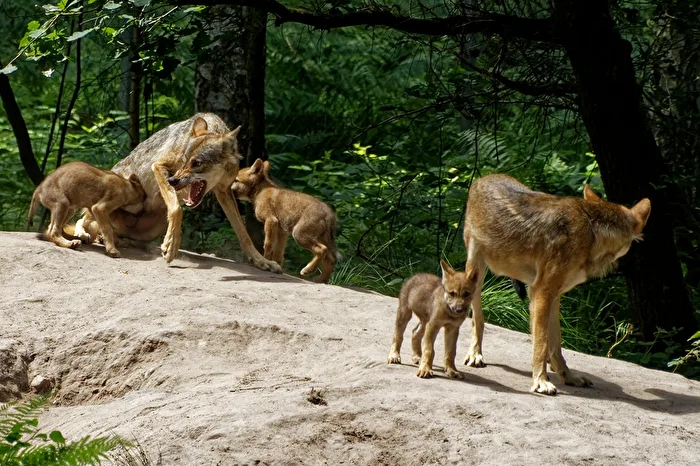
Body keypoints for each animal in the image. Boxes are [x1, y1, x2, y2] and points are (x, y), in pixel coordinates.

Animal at [72, 113, 281, 272]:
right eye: (184, 160)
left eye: (196, 163)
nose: (173, 180)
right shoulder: (159, 166)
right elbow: (176, 209)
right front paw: (171, 246)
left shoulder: (224, 192)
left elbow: (243, 233)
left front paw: (262, 261)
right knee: (84, 218)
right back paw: (84, 235)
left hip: (149, 230)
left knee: (103, 227)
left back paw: (112, 239)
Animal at [462, 174, 651, 395]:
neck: (591, 232)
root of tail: (483, 178)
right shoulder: (542, 292)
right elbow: (542, 343)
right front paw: (541, 381)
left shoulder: (552, 295)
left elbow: (555, 343)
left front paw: (568, 377)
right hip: (475, 274)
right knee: (478, 317)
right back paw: (475, 354)